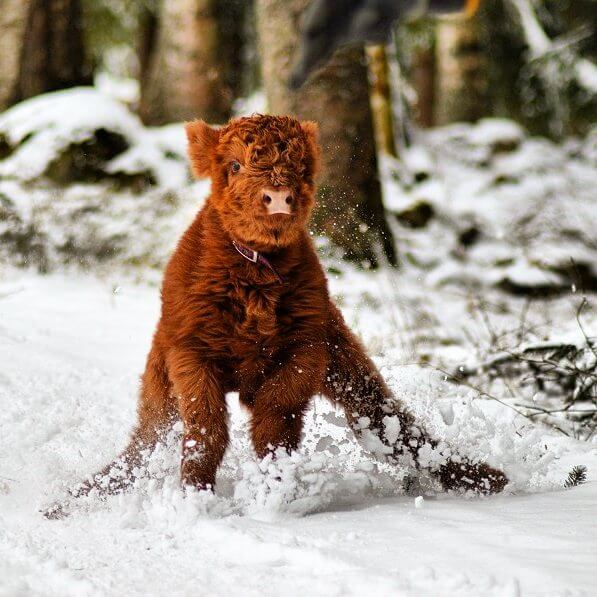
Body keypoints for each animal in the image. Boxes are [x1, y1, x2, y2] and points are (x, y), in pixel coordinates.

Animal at [53, 112, 506, 508]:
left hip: (349, 364)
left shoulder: (307, 348)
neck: (254, 279)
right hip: (159, 387)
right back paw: (73, 500)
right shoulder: (190, 351)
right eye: (235, 165)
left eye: (300, 167)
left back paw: (484, 478)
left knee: (389, 423)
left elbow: (277, 415)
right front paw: (195, 498)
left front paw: (276, 486)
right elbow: (205, 427)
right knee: (145, 442)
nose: (277, 198)